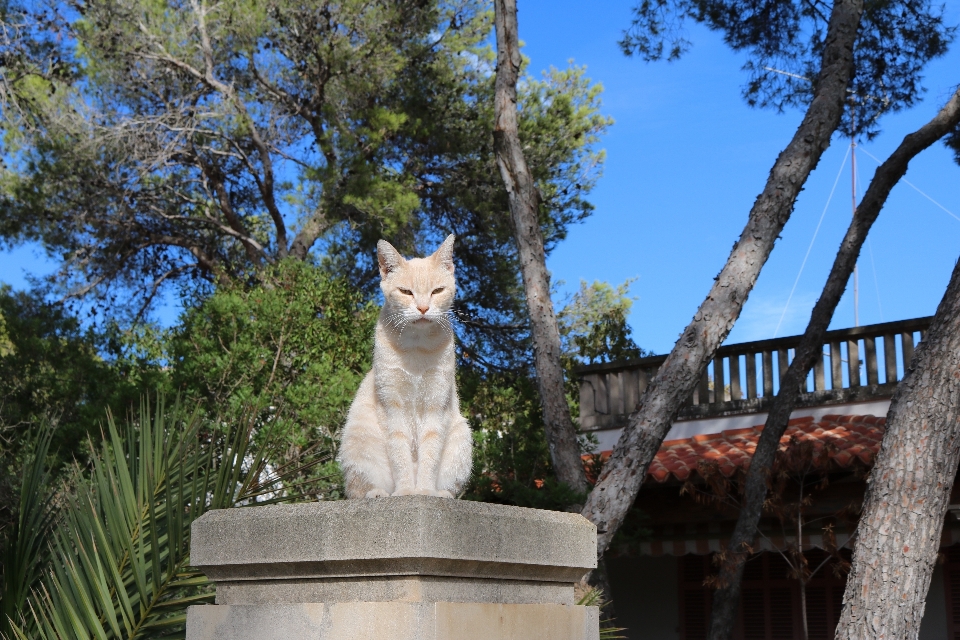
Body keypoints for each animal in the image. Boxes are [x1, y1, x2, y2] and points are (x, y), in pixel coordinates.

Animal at [338, 235, 472, 500]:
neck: (416, 347)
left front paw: (425, 492)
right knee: (357, 490)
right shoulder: (393, 407)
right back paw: (378, 493)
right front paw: (406, 492)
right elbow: (399, 454)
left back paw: (442, 493)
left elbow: (430, 453)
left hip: (462, 436)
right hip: (357, 440)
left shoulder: (435, 406)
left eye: (437, 291)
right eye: (406, 292)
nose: (422, 308)